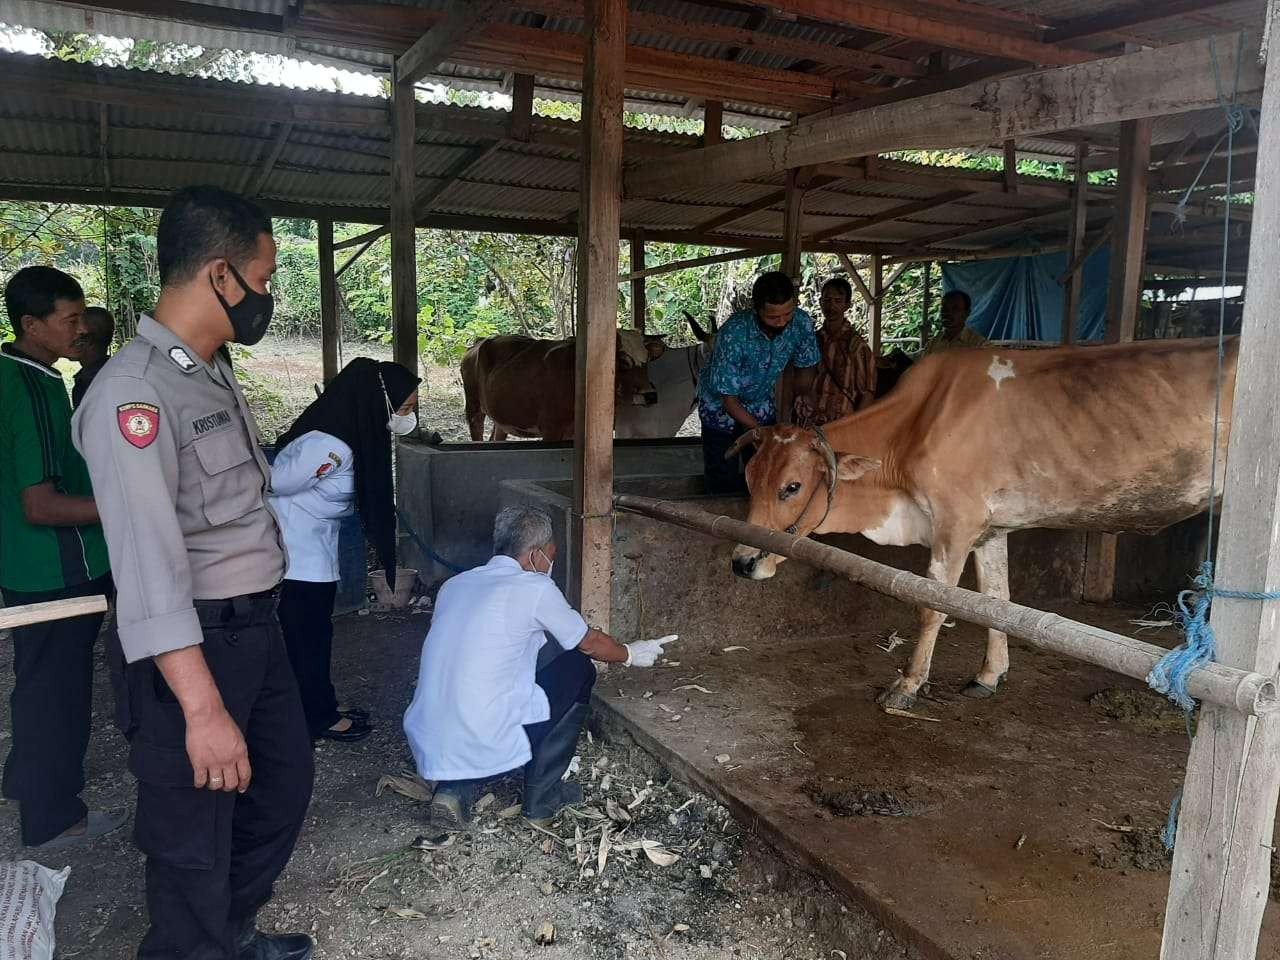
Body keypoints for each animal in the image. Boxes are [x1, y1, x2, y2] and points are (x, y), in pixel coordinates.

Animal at [463, 330, 660, 442]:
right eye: (623, 361)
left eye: (647, 360)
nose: (650, 395)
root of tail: (478, 343)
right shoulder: (551, 428)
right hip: (473, 408)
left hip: (502, 418)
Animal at [727, 337, 1233, 706]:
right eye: (749, 477)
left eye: (792, 487)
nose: (741, 562)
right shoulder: (991, 530)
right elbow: (995, 599)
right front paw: (989, 674)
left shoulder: (956, 522)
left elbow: (934, 606)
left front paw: (907, 685)